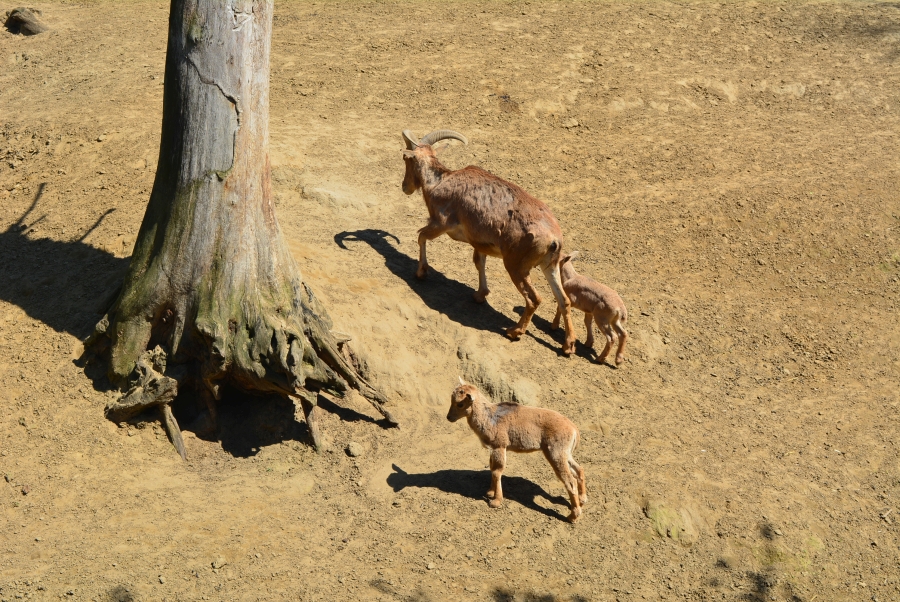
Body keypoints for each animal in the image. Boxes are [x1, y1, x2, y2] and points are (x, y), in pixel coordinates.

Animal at [401, 129, 576, 356]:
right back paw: (568, 345)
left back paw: (514, 331)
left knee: (534, 298)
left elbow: (421, 235)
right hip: (550, 265)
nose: (405, 187)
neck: (439, 182)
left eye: (405, 159)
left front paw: (421, 272)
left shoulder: (440, 224)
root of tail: (554, 238)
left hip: (516, 266)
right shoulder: (479, 242)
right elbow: (479, 262)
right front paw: (480, 295)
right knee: (564, 300)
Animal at [447, 379, 587, 522]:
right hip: (565, 454)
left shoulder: (500, 446)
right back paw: (582, 500)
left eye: (460, 404)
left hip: (555, 454)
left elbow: (497, 472)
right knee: (579, 470)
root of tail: (574, 430)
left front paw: (495, 501)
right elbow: (492, 469)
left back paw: (572, 516)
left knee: (570, 481)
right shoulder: (493, 449)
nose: (449, 417)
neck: (488, 418)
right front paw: (490, 492)